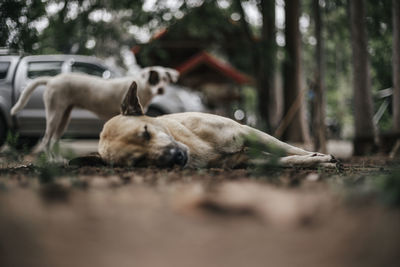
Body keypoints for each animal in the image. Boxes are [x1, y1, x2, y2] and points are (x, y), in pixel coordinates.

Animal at [10, 66, 179, 153]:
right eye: (155, 79)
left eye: (166, 79)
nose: (161, 89)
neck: (143, 87)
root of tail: (51, 79)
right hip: (54, 115)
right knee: (46, 141)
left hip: (64, 117)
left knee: (53, 141)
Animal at [97, 81, 338, 170]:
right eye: (138, 161)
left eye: (146, 133)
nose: (175, 158)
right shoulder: (244, 159)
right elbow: (286, 160)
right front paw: (318, 161)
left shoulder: (248, 132)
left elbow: (289, 149)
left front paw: (321, 156)